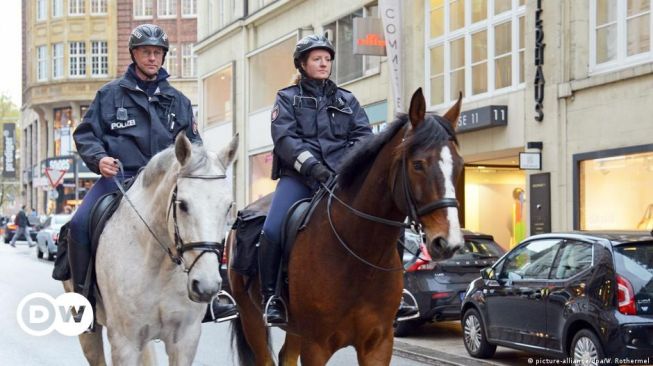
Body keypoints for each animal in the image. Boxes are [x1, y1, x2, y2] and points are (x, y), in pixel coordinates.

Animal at [61, 133, 237, 364]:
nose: (206, 286)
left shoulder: (185, 339)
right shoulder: (125, 343)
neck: (160, 265)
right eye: (182, 204)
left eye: (228, 206)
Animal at [229, 89, 464, 366]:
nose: (448, 242)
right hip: (251, 318)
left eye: (459, 164)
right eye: (418, 164)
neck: (359, 256)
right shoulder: (316, 346)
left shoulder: (378, 344)